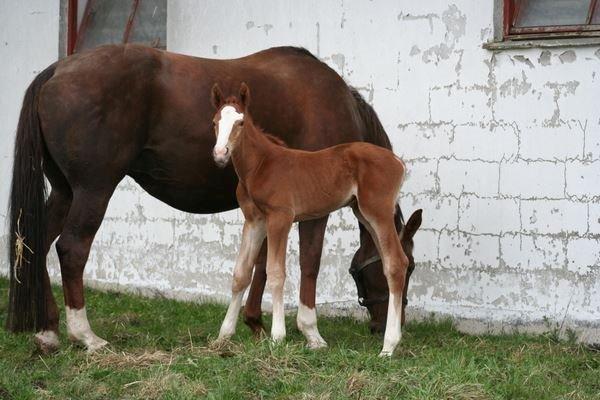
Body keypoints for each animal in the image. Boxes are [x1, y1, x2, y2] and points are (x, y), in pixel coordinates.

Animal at [210, 82, 408, 356]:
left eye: (240, 122)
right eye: (215, 122)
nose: (220, 154)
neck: (260, 165)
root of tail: (398, 162)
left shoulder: (280, 218)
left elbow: (275, 273)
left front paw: (277, 338)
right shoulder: (254, 221)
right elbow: (241, 274)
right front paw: (223, 337)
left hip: (378, 212)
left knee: (396, 264)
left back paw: (388, 347)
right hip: (365, 214)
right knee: (392, 263)